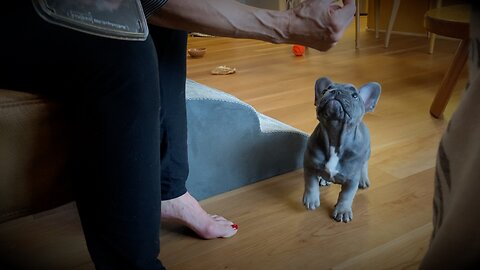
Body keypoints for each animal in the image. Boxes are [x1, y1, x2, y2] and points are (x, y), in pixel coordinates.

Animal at [302, 77, 380, 223]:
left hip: (367, 153)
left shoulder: (351, 181)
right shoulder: (310, 166)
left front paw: (342, 211)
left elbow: (346, 196)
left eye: (355, 96)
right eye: (325, 90)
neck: (334, 136)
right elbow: (310, 184)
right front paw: (311, 200)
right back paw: (324, 179)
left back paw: (363, 180)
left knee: (364, 165)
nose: (336, 91)